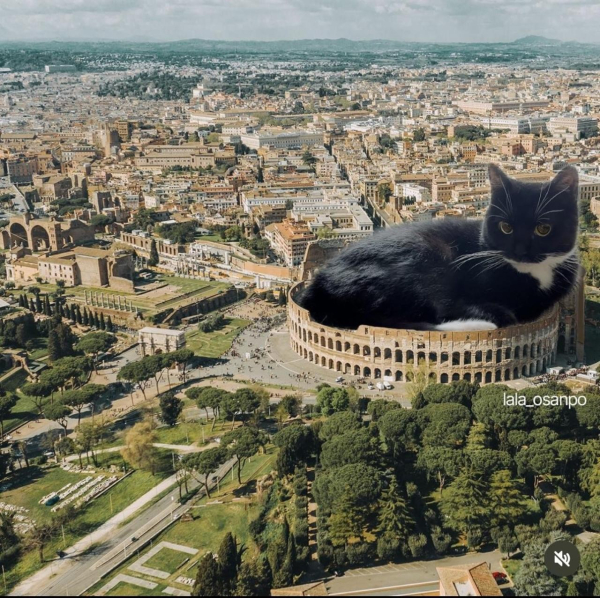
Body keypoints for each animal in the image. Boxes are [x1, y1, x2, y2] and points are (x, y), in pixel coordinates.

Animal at [298, 164, 580, 332]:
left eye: (543, 229)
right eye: (506, 227)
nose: (520, 251)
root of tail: (318, 287)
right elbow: (457, 308)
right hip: (425, 256)